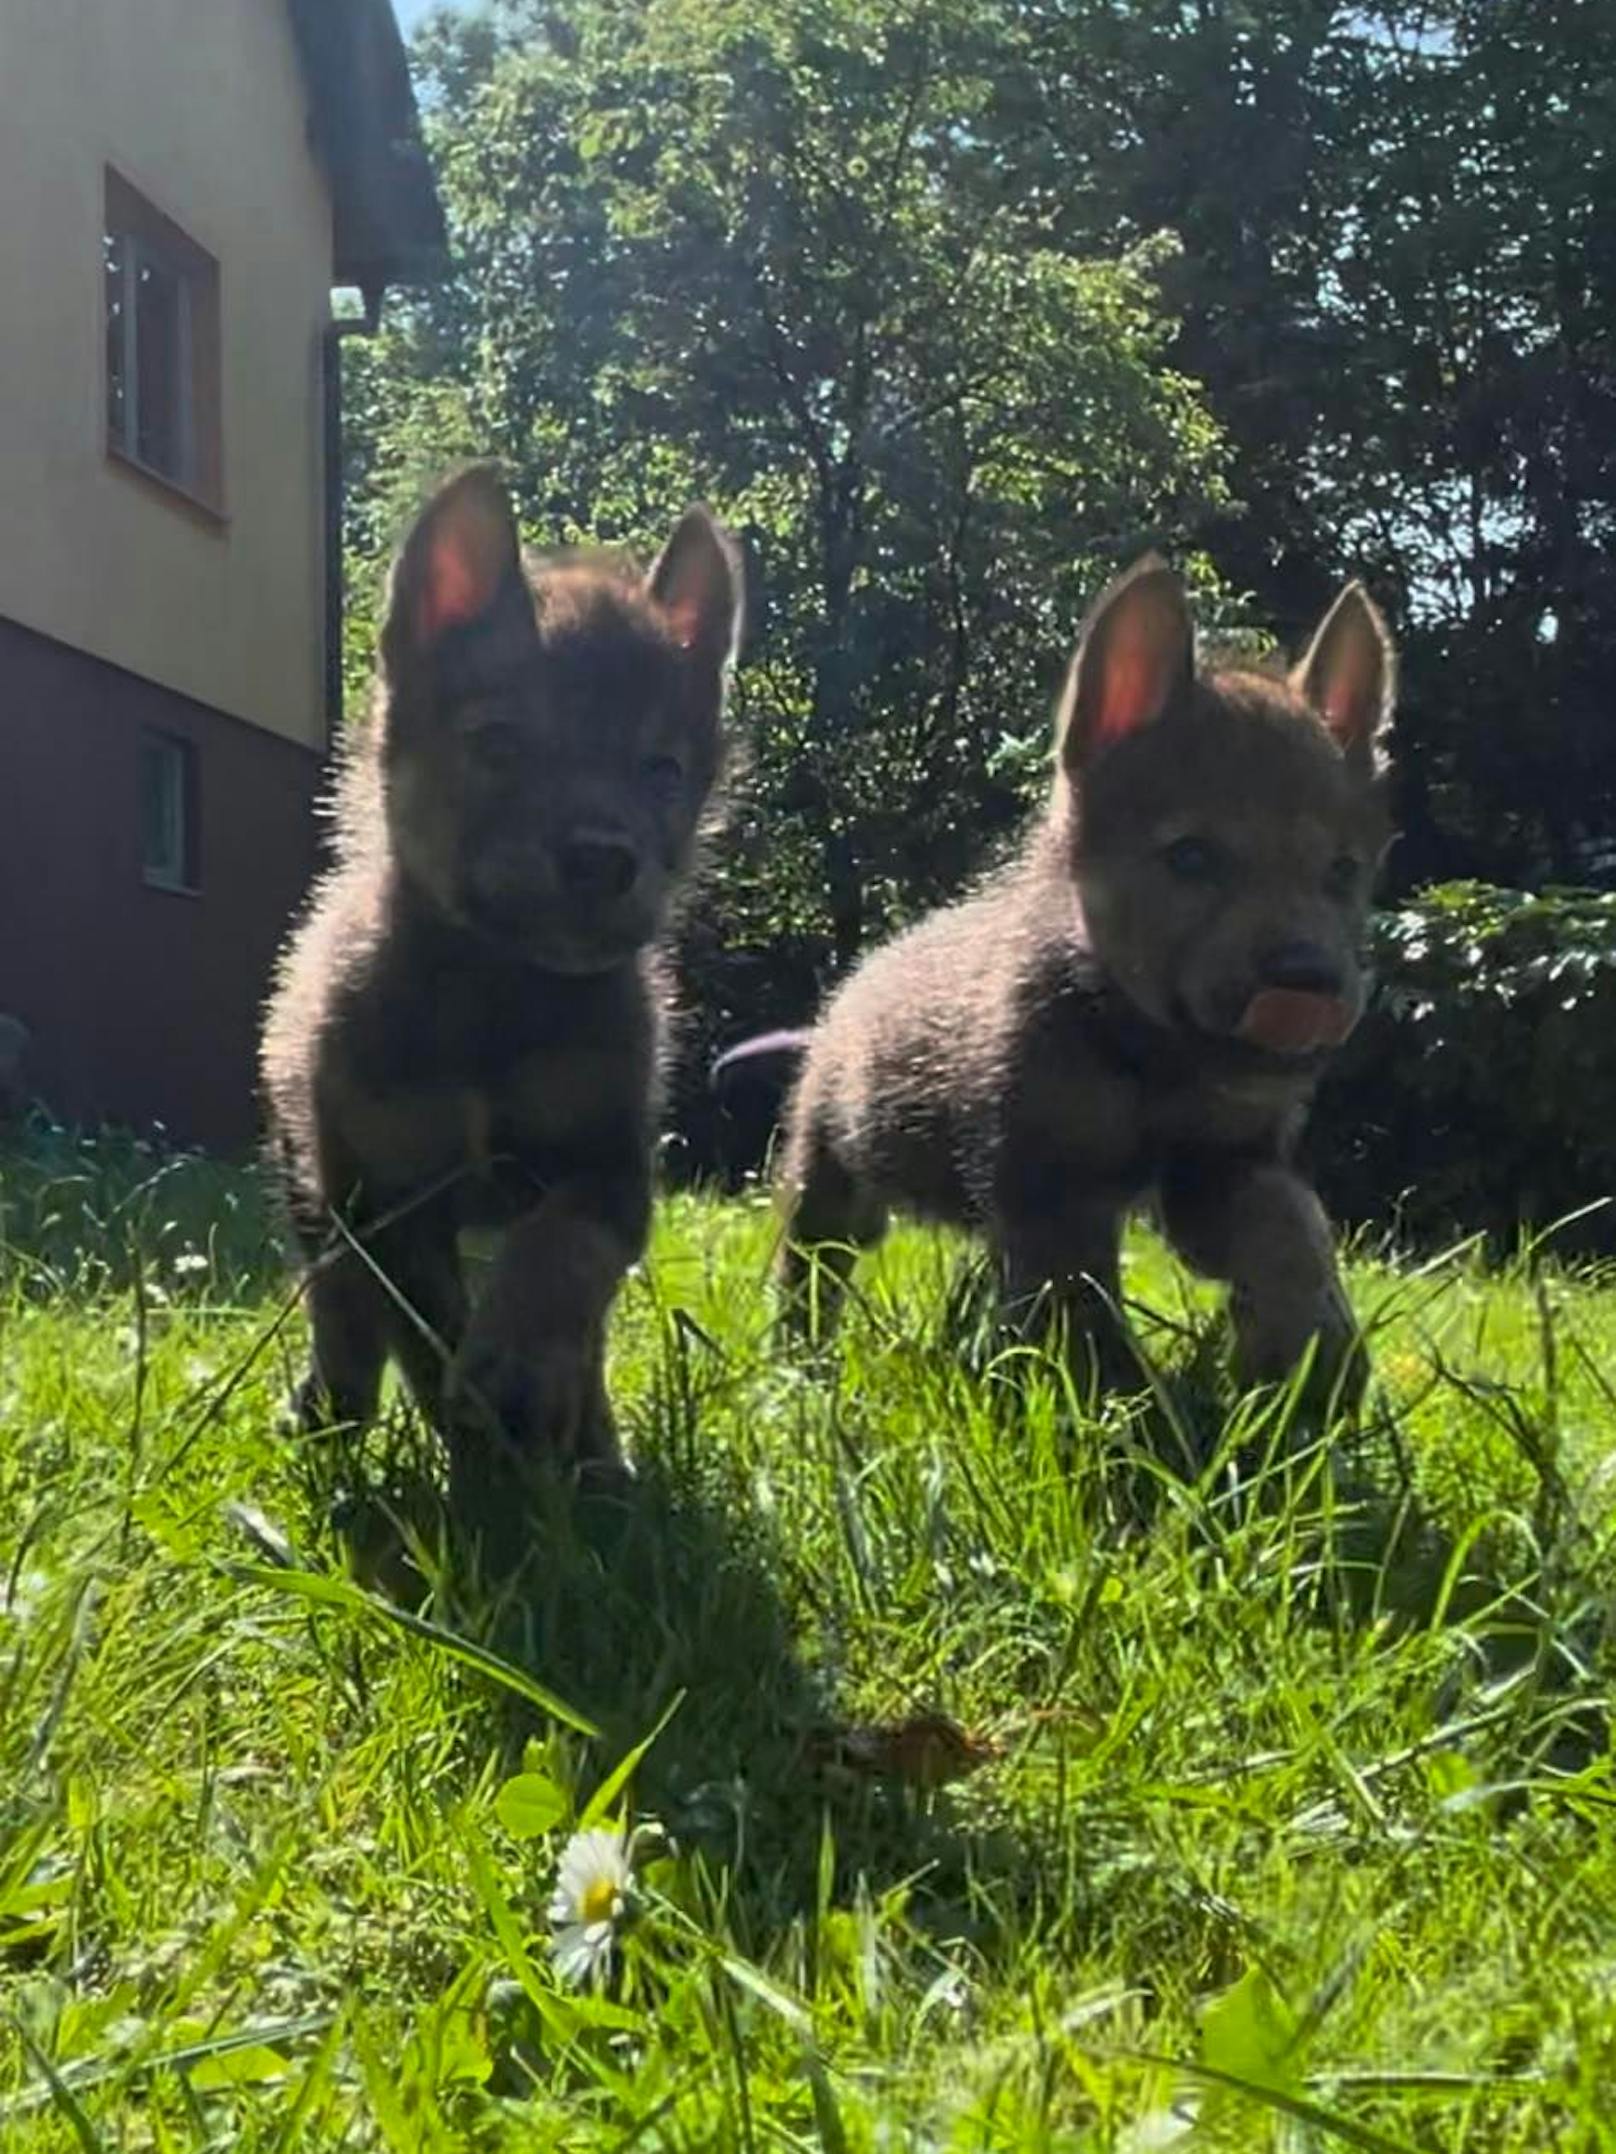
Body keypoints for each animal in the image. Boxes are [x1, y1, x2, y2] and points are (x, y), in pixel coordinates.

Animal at [263, 467, 745, 1533]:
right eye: (502, 742)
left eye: (661, 770)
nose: (604, 859)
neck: (497, 993)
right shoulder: (391, 1195)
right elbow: (425, 1324)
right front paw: (476, 1442)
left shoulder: (607, 1167)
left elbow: (560, 1264)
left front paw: (523, 1386)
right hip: (316, 1185)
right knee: (339, 1307)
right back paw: (333, 1409)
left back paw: (596, 1455)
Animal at [767, 551, 1396, 1395]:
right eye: (1190, 857)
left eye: (1341, 871)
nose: (1308, 983)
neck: (1146, 1058)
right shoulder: (1051, 1189)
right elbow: (1080, 1312)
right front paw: (1120, 1406)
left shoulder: (1222, 1163)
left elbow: (1287, 1226)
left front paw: (1309, 1355)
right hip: (830, 1169)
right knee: (813, 1269)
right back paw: (798, 1363)